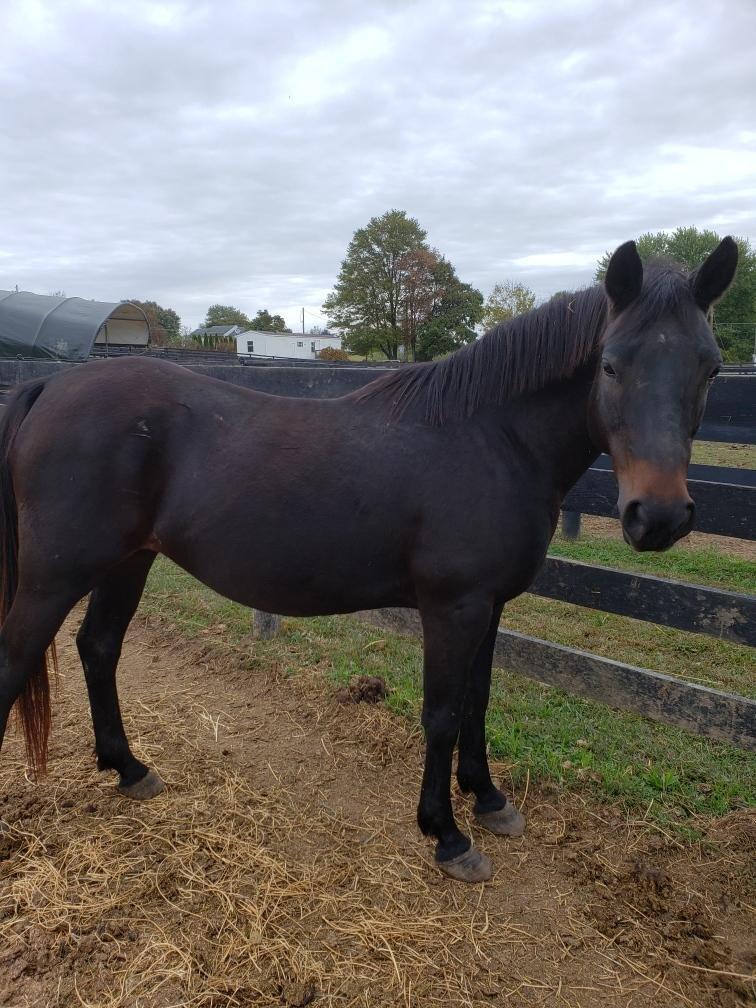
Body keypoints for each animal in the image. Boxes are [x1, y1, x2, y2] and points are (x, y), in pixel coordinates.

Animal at [0, 238, 736, 882]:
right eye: (611, 364)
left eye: (710, 367)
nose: (658, 517)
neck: (491, 438)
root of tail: (49, 388)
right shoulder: (453, 607)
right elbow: (441, 713)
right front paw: (447, 835)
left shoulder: (490, 606)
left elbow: (478, 700)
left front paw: (489, 800)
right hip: (56, 573)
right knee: (20, 659)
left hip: (129, 560)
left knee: (99, 647)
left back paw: (129, 768)